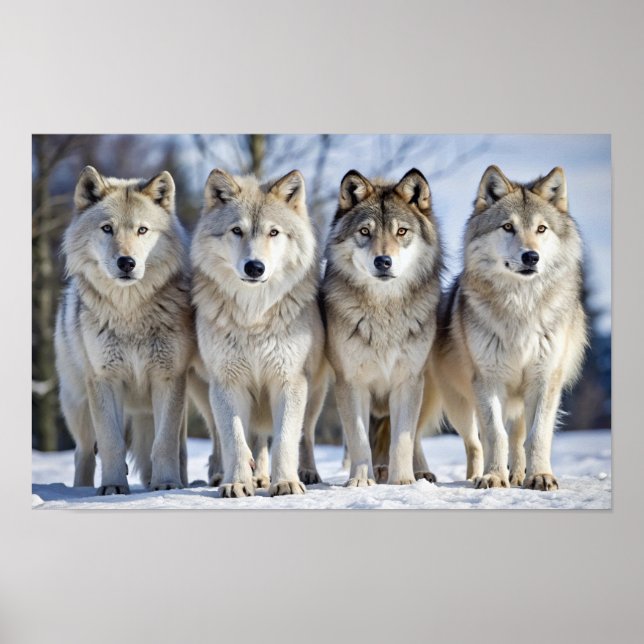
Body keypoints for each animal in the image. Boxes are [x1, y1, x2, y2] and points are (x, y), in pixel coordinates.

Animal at [54, 166, 194, 494]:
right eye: (107, 228)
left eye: (142, 230)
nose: (126, 262)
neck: (130, 313)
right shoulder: (104, 379)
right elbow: (110, 442)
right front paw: (113, 487)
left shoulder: (169, 377)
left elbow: (165, 443)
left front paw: (167, 484)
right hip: (78, 404)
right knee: (83, 452)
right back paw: (81, 490)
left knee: (179, 448)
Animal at [191, 169, 328, 497]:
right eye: (236, 231)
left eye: (273, 233)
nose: (254, 267)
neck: (253, 316)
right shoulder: (227, 383)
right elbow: (235, 440)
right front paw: (238, 483)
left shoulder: (289, 381)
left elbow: (285, 439)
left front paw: (286, 482)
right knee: (232, 439)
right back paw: (232, 476)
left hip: (315, 394)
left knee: (304, 435)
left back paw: (304, 473)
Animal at [322, 169, 442, 486]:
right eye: (365, 232)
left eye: (401, 231)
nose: (383, 261)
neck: (384, 313)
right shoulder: (350, 383)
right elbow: (359, 439)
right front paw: (360, 480)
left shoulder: (408, 380)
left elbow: (403, 440)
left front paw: (402, 481)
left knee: (414, 437)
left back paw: (419, 472)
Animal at [422, 165, 588, 490]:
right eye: (508, 227)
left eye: (541, 229)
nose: (531, 256)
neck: (520, 308)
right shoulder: (488, 381)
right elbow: (494, 435)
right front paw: (494, 477)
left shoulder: (544, 380)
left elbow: (537, 436)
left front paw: (540, 476)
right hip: (458, 402)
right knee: (474, 442)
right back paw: (467, 475)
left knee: (516, 438)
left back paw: (519, 475)